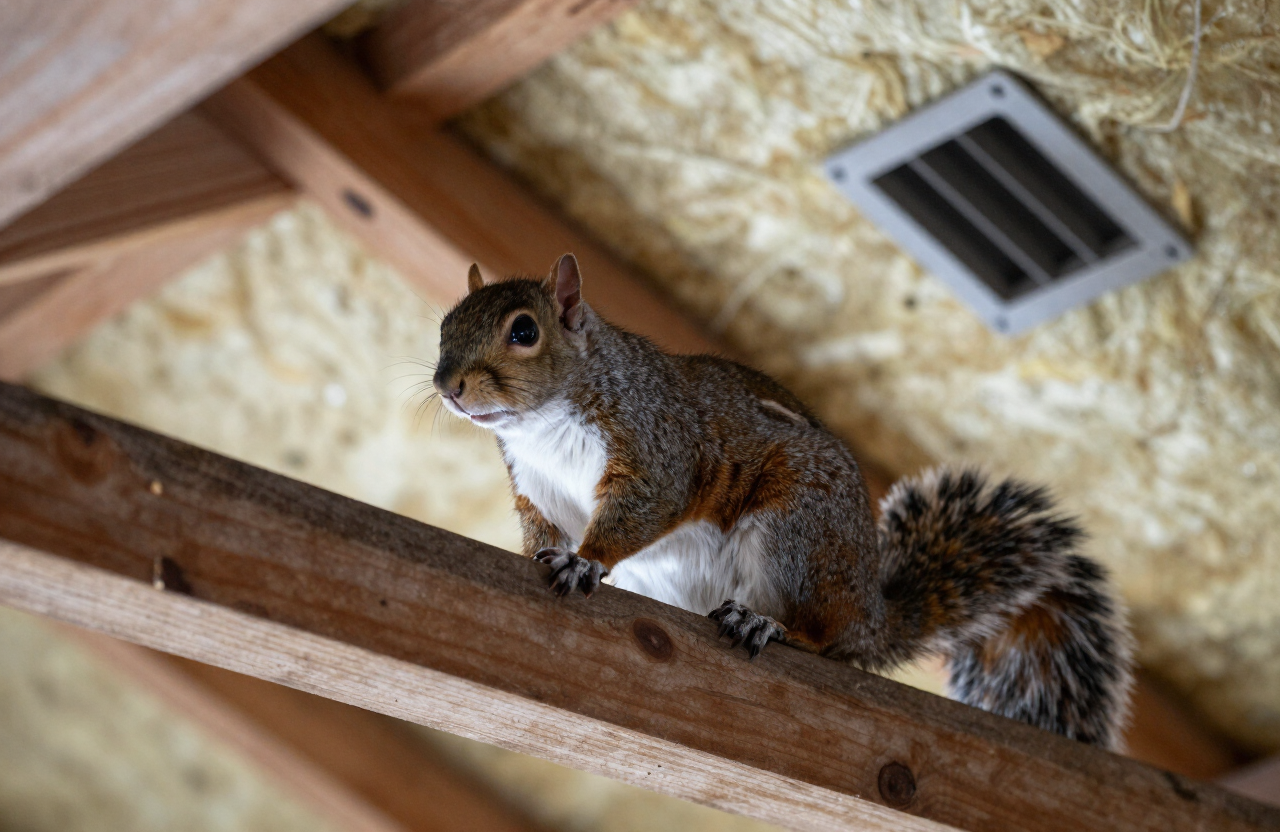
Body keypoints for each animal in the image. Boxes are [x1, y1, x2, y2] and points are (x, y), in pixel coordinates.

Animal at [432, 253, 1134, 750]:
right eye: (444, 328)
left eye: (524, 330)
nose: (446, 385)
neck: (543, 425)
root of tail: (869, 610)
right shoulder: (536, 489)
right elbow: (540, 532)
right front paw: (540, 557)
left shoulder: (657, 448)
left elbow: (640, 510)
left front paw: (586, 560)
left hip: (795, 529)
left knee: (820, 638)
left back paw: (766, 624)